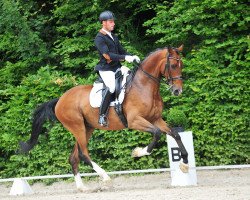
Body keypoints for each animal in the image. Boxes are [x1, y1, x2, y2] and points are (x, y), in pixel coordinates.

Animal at [20, 44, 188, 191]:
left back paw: (82, 188)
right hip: (77, 127)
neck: (144, 86)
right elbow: (157, 134)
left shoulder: (156, 119)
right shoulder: (135, 121)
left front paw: (185, 163)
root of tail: (60, 100)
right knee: (83, 154)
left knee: (74, 157)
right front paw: (138, 152)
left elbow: (175, 134)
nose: (177, 91)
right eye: (173, 65)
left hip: (86, 128)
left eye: (181, 65)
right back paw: (105, 177)